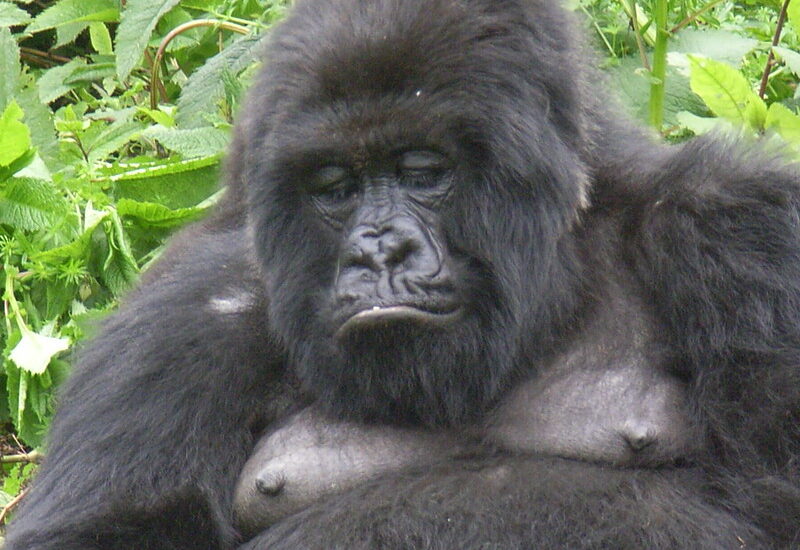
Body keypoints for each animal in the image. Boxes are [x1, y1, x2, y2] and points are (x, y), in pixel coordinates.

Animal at [6, 0, 800, 548]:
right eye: (335, 185)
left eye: (422, 171)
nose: (378, 255)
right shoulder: (182, 317)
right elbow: (107, 531)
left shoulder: (743, 234)